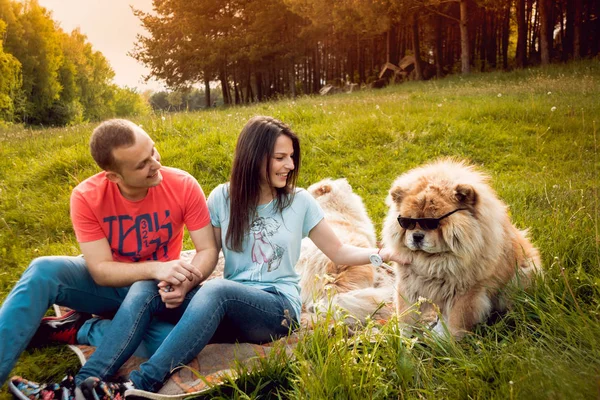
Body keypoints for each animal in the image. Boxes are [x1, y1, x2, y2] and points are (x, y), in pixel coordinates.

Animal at [384, 158, 544, 340]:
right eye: (407, 221)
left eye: (432, 222)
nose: (417, 236)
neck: (434, 262)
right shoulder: (409, 284)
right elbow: (406, 314)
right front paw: (401, 337)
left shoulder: (466, 291)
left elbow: (456, 320)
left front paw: (450, 342)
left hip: (521, 276)